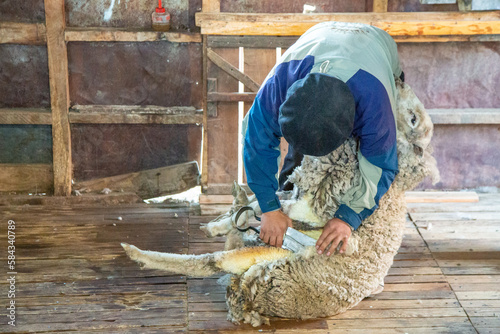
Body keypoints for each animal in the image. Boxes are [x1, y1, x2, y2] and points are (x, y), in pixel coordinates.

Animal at [120, 79, 438, 326]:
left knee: (210, 261)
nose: (399, 79)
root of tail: (252, 297)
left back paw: (137, 252)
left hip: (270, 262)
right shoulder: (298, 193)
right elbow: (262, 203)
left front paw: (231, 220)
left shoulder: (312, 206)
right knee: (224, 251)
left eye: (413, 119)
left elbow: (270, 209)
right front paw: (223, 221)